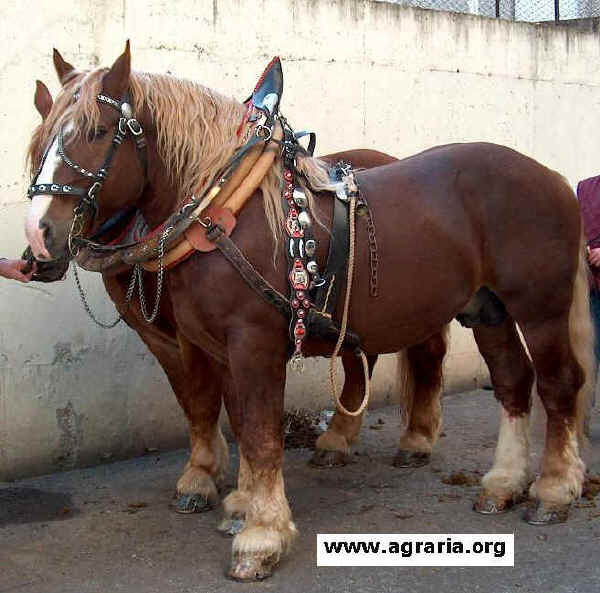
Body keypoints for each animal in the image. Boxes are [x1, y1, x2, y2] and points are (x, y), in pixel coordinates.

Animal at [24, 45, 596, 580]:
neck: (224, 212)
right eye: (43, 138)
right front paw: (242, 504)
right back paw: (503, 483)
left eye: (98, 131)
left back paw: (553, 490)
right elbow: (236, 419)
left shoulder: (251, 343)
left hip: (539, 309)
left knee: (557, 385)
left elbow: (260, 433)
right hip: (488, 310)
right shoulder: (215, 346)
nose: (39, 235)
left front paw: (261, 537)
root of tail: (551, 176)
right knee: (513, 383)